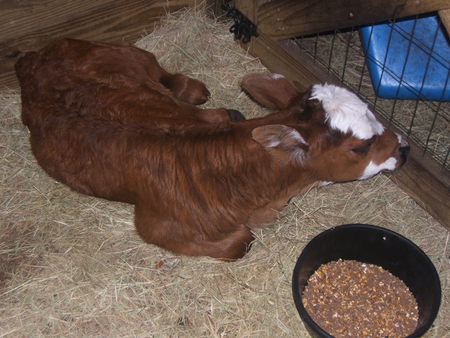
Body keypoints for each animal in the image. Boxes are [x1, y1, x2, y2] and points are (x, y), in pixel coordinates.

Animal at [15, 40, 410, 262]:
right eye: (360, 147)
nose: (405, 148)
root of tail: (31, 58)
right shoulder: (156, 226)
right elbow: (243, 241)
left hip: (129, 55)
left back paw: (195, 92)